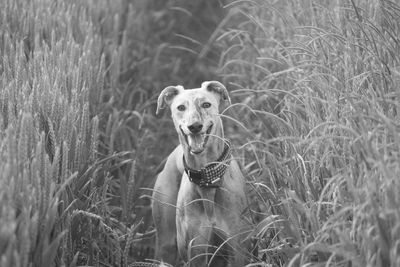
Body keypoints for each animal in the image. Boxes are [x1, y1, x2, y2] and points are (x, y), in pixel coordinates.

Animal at [152, 82, 248, 267]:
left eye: (206, 104)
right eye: (180, 107)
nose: (194, 126)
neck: (208, 177)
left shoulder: (237, 250)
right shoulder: (196, 253)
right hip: (166, 245)